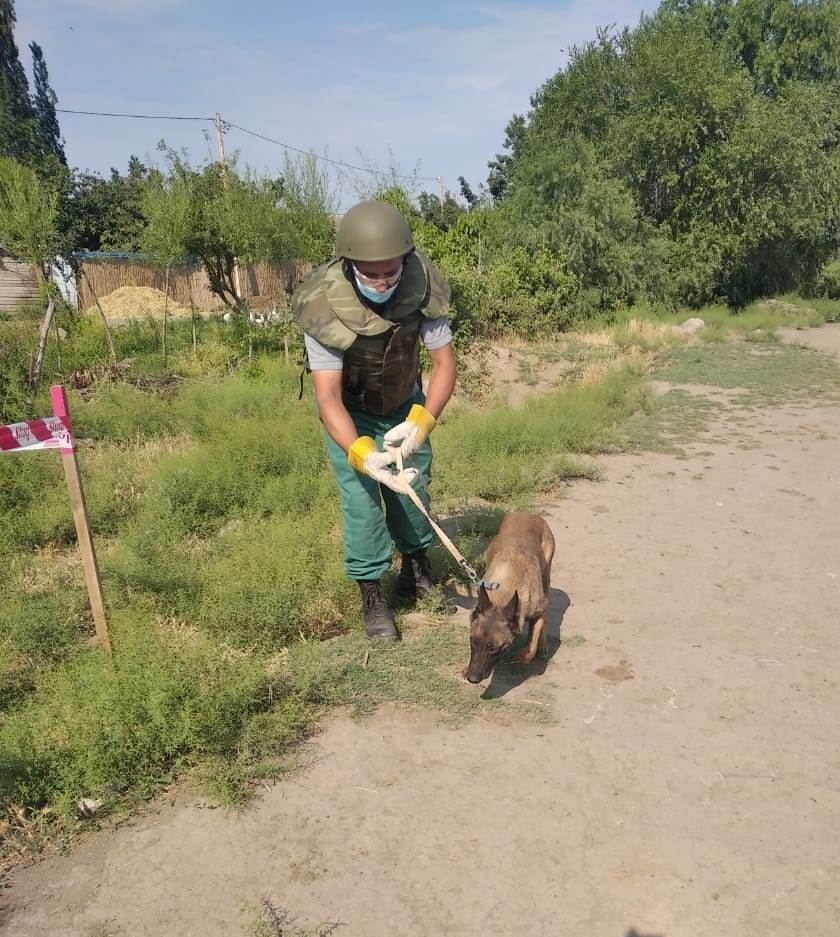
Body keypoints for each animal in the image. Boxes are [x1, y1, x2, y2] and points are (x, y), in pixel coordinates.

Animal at [462, 512, 556, 680]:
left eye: (493, 648)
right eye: (472, 641)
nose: (472, 678)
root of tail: (529, 514)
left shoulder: (540, 609)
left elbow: (532, 642)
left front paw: (525, 654)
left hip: (546, 577)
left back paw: (542, 646)